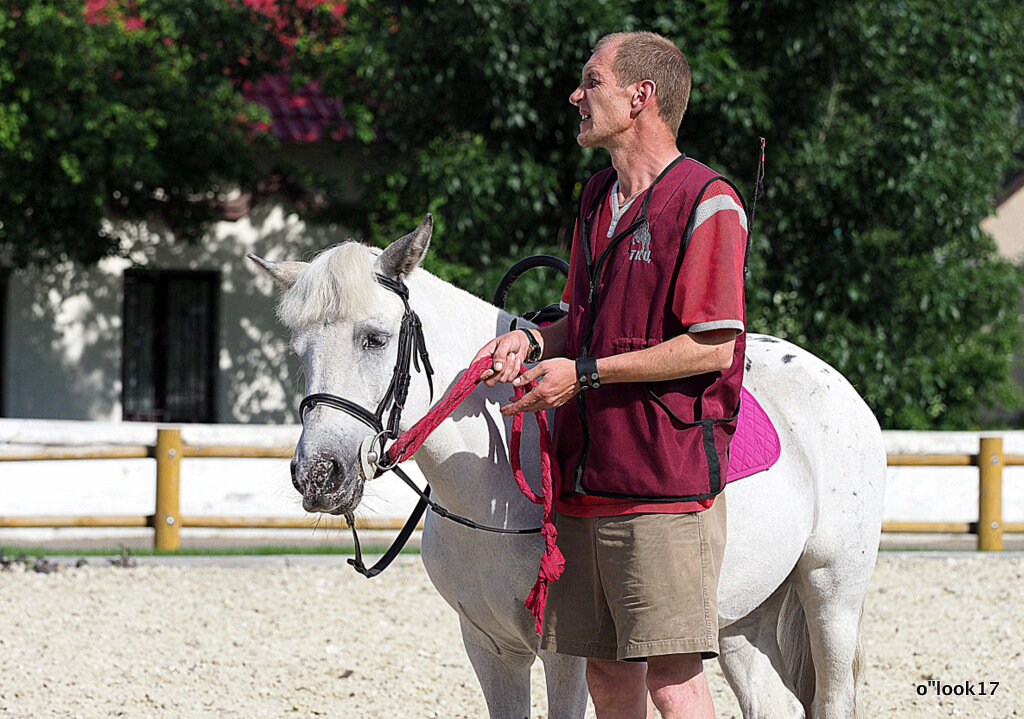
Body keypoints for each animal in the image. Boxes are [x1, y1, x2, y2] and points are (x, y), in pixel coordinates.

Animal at [249, 217, 888, 719]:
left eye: (375, 338)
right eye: (297, 352)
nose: (319, 474)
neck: (496, 491)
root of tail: (836, 383)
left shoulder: (568, 655)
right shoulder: (490, 649)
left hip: (831, 595)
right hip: (738, 619)